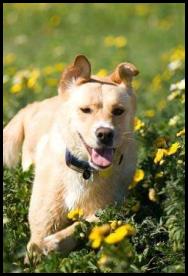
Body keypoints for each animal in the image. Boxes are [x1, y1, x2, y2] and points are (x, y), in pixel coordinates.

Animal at [2, 55, 138, 258]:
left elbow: (82, 225)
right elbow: (36, 243)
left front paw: (51, 244)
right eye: (85, 110)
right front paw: (41, 250)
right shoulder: (44, 219)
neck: (84, 170)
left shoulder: (108, 208)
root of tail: (34, 105)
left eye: (118, 111)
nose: (105, 134)